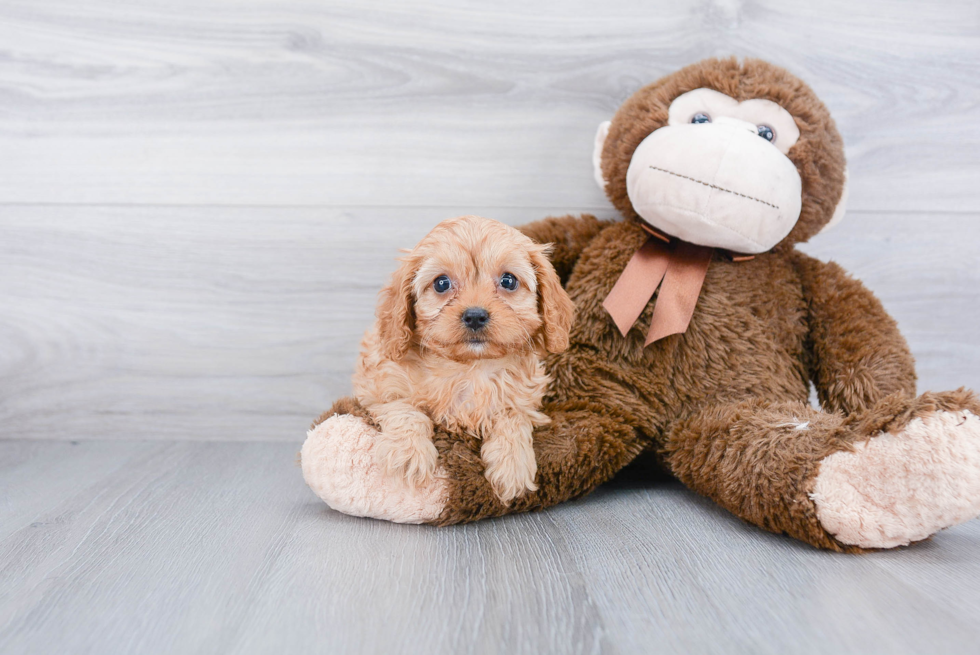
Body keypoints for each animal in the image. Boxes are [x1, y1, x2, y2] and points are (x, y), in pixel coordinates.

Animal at [354, 215, 576, 502]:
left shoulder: (524, 399)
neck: (471, 366)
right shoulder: (378, 385)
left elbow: (513, 418)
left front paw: (512, 465)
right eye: (441, 283)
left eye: (508, 281)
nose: (475, 316)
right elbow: (405, 409)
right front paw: (409, 454)